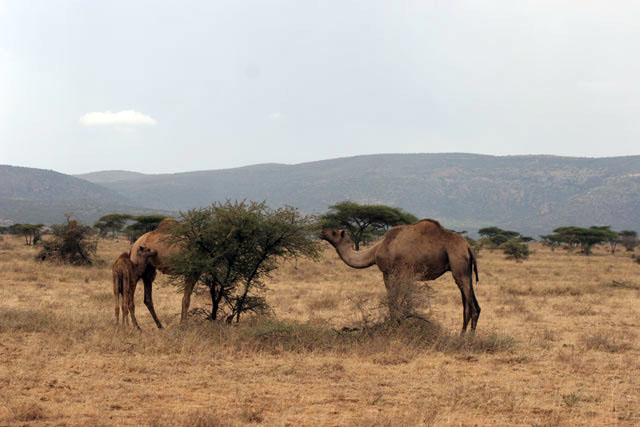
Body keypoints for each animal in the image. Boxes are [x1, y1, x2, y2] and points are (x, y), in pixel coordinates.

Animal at [320, 219, 481, 333]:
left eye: (334, 232)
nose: (322, 232)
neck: (377, 249)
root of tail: (468, 247)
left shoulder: (392, 273)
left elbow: (394, 300)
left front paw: (395, 325)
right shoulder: (400, 274)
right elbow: (396, 300)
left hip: (458, 264)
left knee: (473, 306)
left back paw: (469, 339)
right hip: (465, 270)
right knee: (467, 303)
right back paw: (461, 336)